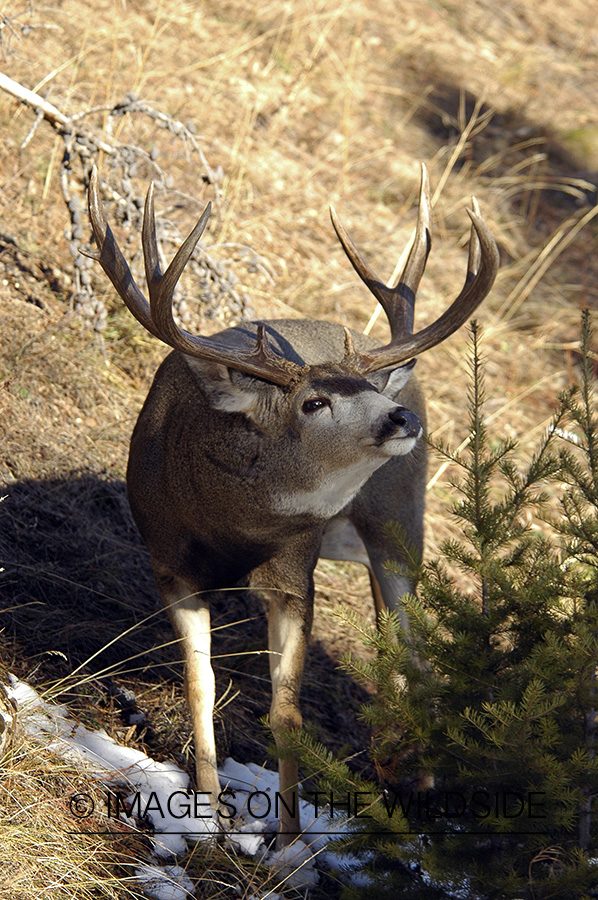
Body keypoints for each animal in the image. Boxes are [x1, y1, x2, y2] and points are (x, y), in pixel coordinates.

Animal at [86, 165, 500, 848]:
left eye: (361, 388)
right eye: (313, 402)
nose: (400, 416)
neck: (230, 527)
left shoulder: (293, 572)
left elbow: (287, 712)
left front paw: (289, 840)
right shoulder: (170, 565)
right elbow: (200, 689)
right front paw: (209, 820)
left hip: (399, 515)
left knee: (413, 637)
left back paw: (418, 784)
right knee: (388, 624)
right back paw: (391, 757)